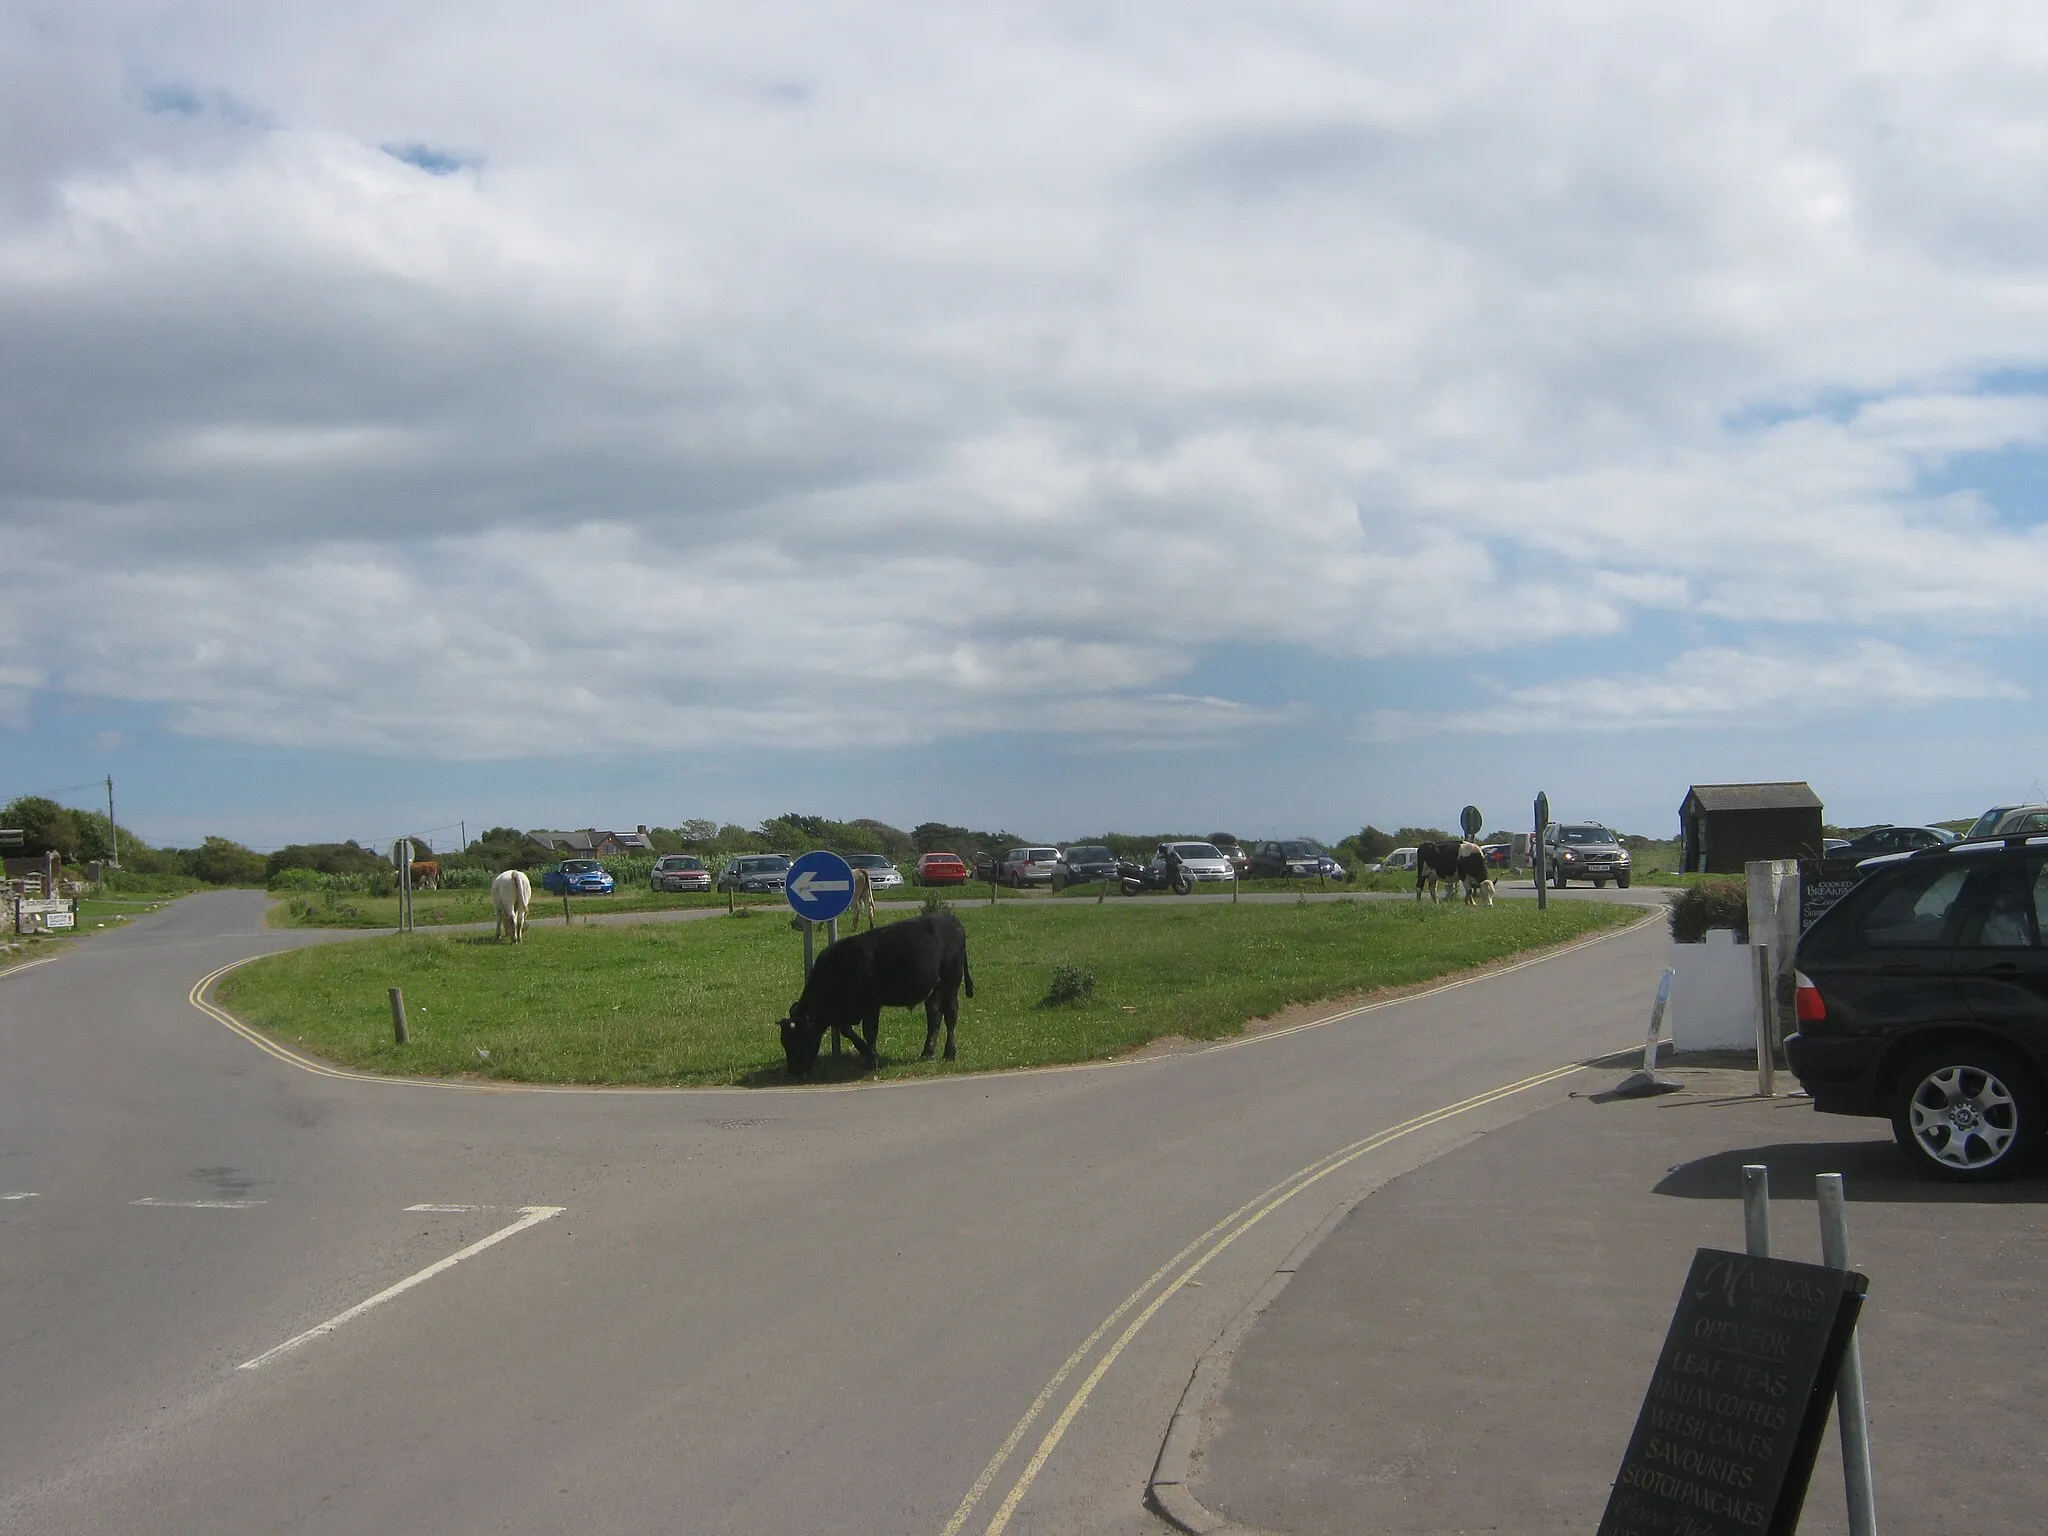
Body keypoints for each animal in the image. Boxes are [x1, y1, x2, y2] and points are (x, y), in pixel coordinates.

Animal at [778, 913, 978, 1081]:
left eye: (797, 1039)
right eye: (784, 1042)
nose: (793, 1072)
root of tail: (952, 920)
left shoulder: (871, 1005)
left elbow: (870, 1032)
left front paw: (872, 1058)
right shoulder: (845, 1013)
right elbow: (847, 1031)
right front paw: (866, 1055)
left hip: (950, 983)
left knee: (950, 1015)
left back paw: (949, 1053)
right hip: (933, 990)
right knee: (934, 1016)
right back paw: (927, 1052)